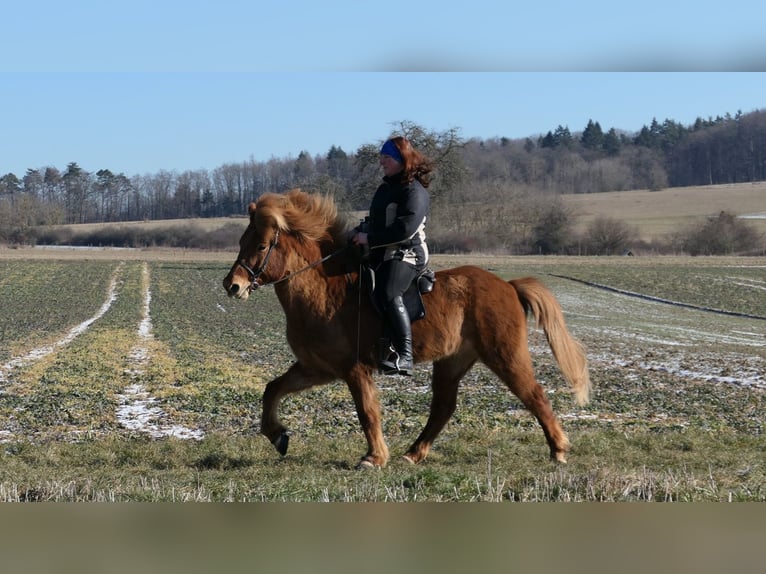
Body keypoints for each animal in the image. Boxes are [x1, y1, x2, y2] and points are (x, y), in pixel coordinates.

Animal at [225, 191, 592, 470]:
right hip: (453, 360)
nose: (232, 286)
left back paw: (559, 449)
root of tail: (508, 286)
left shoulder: (354, 369)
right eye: (242, 240)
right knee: (443, 407)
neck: (323, 290)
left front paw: (374, 458)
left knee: (534, 394)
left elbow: (367, 412)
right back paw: (413, 454)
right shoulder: (317, 368)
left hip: (504, 354)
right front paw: (277, 435)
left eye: (261, 246)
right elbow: (272, 389)